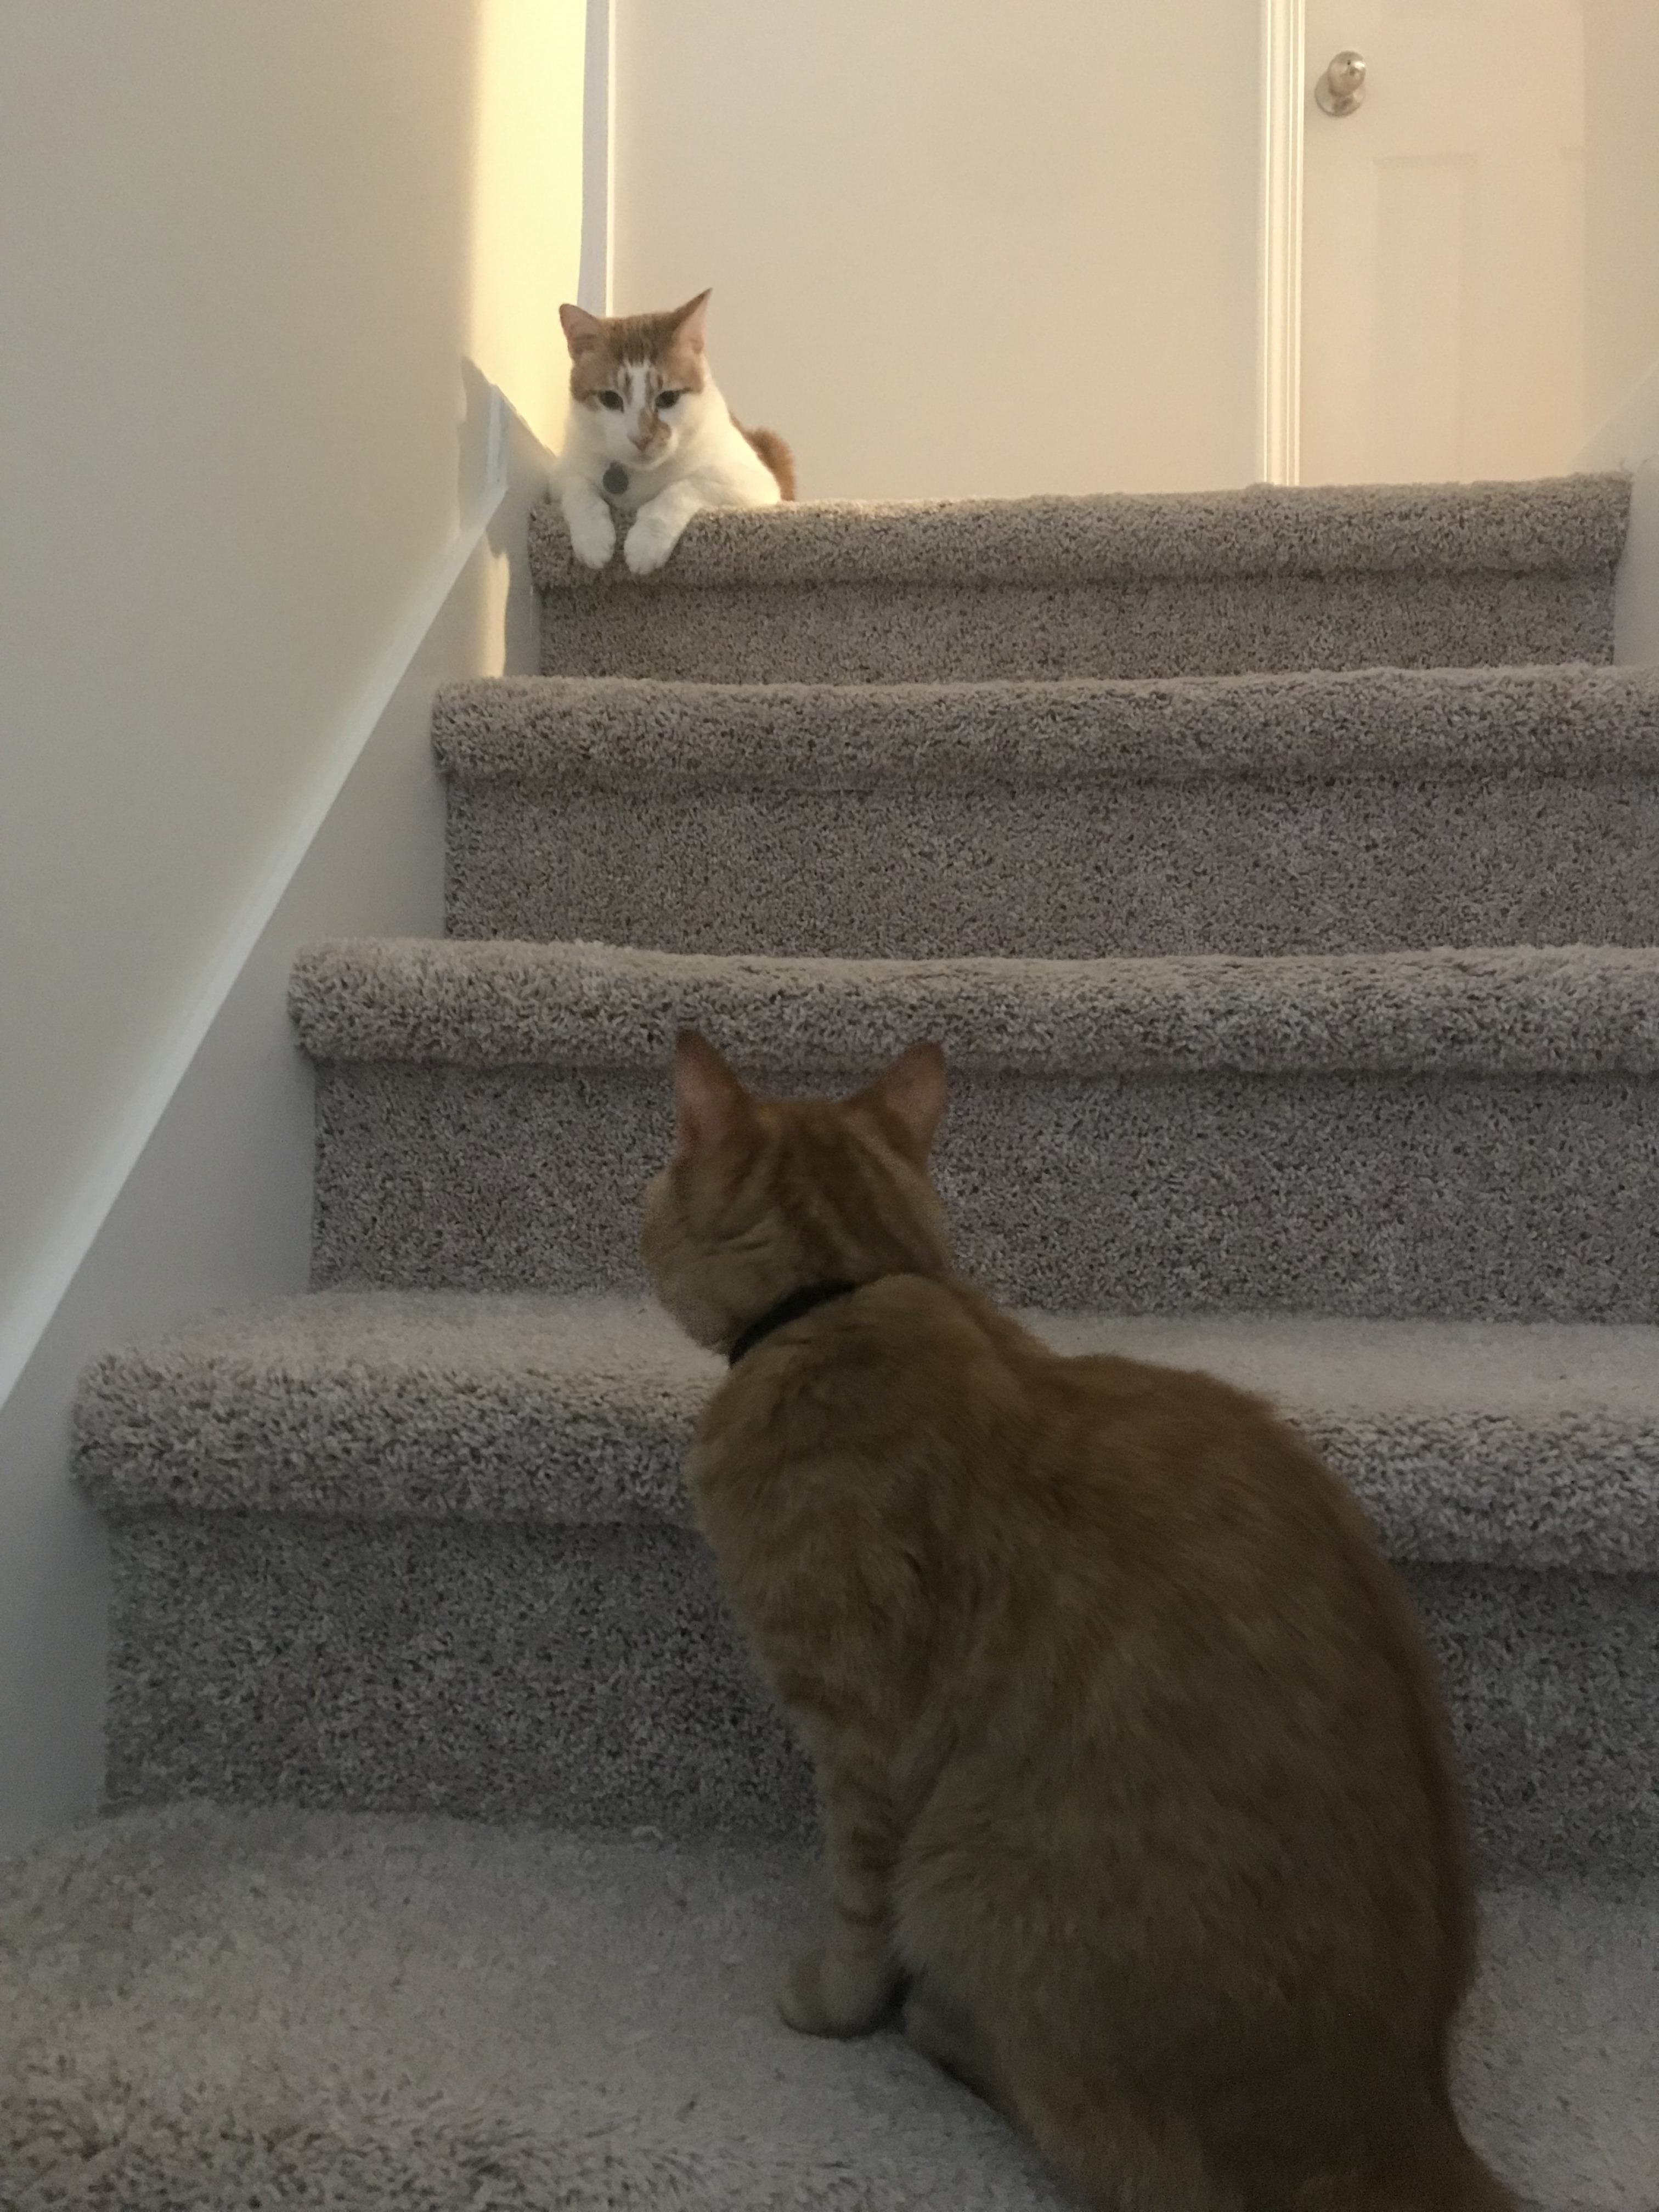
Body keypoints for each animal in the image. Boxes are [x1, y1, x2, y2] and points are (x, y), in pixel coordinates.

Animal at [555, 287, 796, 579]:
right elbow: (578, 489)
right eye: (610, 399)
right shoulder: (563, 469)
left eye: (668, 398)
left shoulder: (754, 479)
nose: (641, 438)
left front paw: (646, 542)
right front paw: (593, 538)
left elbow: (690, 484)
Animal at [641, 1030, 1531, 2212]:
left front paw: (831, 2005)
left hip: (965, 1873)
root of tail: (1402, 2112)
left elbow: (854, 1900)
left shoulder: (861, 1736)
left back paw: (946, 2026)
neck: (849, 1298)